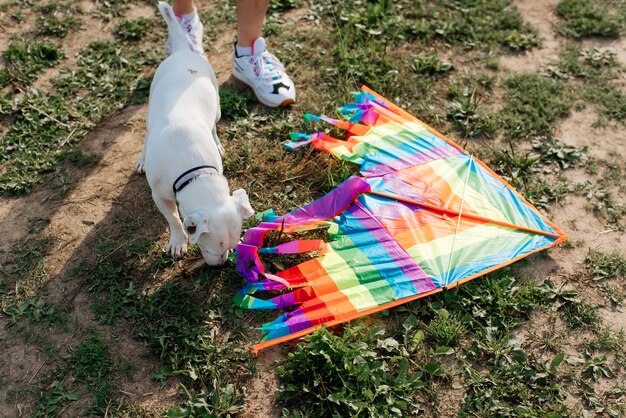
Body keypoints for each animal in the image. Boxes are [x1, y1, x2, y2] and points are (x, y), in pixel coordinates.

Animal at [137, 0, 254, 264]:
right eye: (211, 246)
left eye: (230, 246)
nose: (220, 265)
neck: (193, 169)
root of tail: (183, 52)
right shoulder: (159, 196)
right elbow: (173, 219)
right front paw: (178, 241)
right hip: (151, 105)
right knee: (147, 134)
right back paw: (142, 158)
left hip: (217, 107)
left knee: (213, 125)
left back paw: (218, 142)